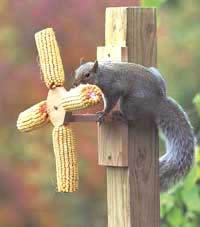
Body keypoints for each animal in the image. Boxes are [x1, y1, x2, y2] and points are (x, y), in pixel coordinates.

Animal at [72, 59, 195, 191]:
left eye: (87, 75)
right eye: (76, 72)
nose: (75, 84)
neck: (102, 73)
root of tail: (159, 102)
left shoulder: (112, 88)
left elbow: (110, 102)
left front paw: (104, 113)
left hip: (129, 103)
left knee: (131, 118)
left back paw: (120, 116)